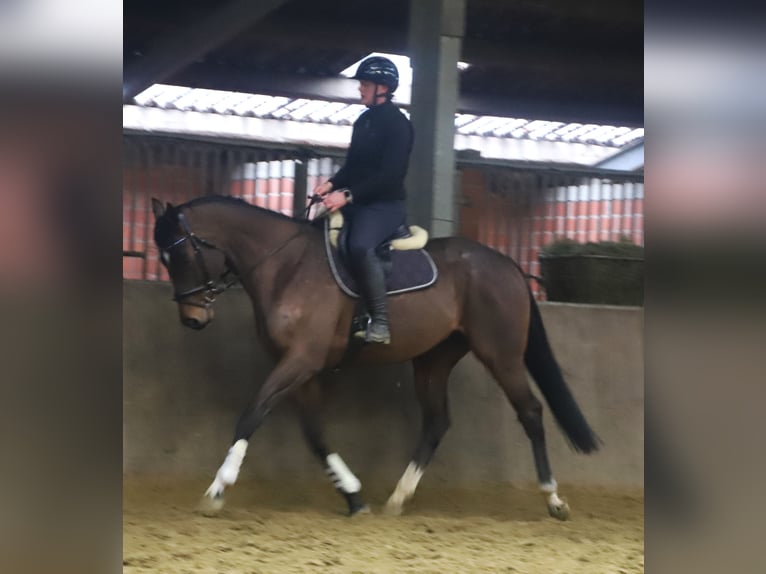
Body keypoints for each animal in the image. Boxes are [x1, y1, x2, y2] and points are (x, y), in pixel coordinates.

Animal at [151, 194, 600, 520]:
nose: (192, 319)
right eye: (163, 259)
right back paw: (398, 498)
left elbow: (251, 415)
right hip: (434, 359)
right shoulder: (303, 368)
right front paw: (354, 496)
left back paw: (553, 499)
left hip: (501, 354)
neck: (286, 266)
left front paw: (217, 489)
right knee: (437, 421)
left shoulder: (299, 360)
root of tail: (507, 265)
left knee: (531, 412)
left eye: (182, 255)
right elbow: (315, 434)